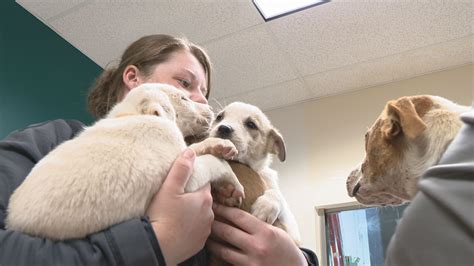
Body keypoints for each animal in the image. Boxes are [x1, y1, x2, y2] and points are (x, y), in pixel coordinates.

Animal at [6, 83, 244, 241]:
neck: (132, 114)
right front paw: (233, 184)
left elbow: (192, 149)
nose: (212, 110)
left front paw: (220, 145)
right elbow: (213, 163)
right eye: (184, 98)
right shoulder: (185, 176)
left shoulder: (180, 150)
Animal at [209, 102, 302, 243]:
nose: (223, 128)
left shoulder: (291, 227)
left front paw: (266, 206)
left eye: (251, 124)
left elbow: (277, 194)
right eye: (219, 117)